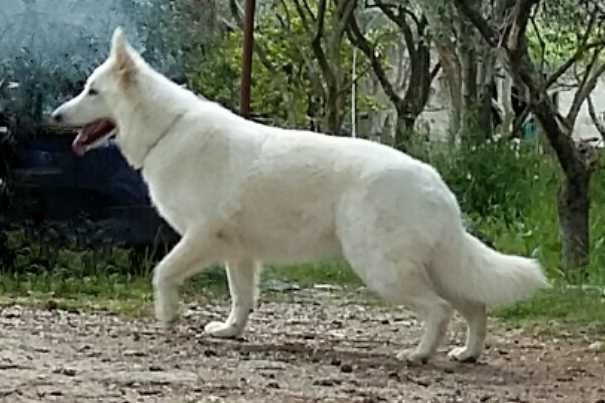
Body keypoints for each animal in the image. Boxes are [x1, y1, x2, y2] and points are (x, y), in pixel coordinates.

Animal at [52, 27, 548, 362]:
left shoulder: (200, 238)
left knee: (441, 308)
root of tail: (436, 183)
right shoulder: (238, 253)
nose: (53, 117)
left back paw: (419, 354)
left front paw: (169, 315)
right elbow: (241, 298)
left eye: (92, 91)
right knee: (475, 305)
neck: (167, 129)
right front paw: (230, 331)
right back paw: (467, 353)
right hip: (429, 266)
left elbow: (162, 273)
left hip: (382, 269)